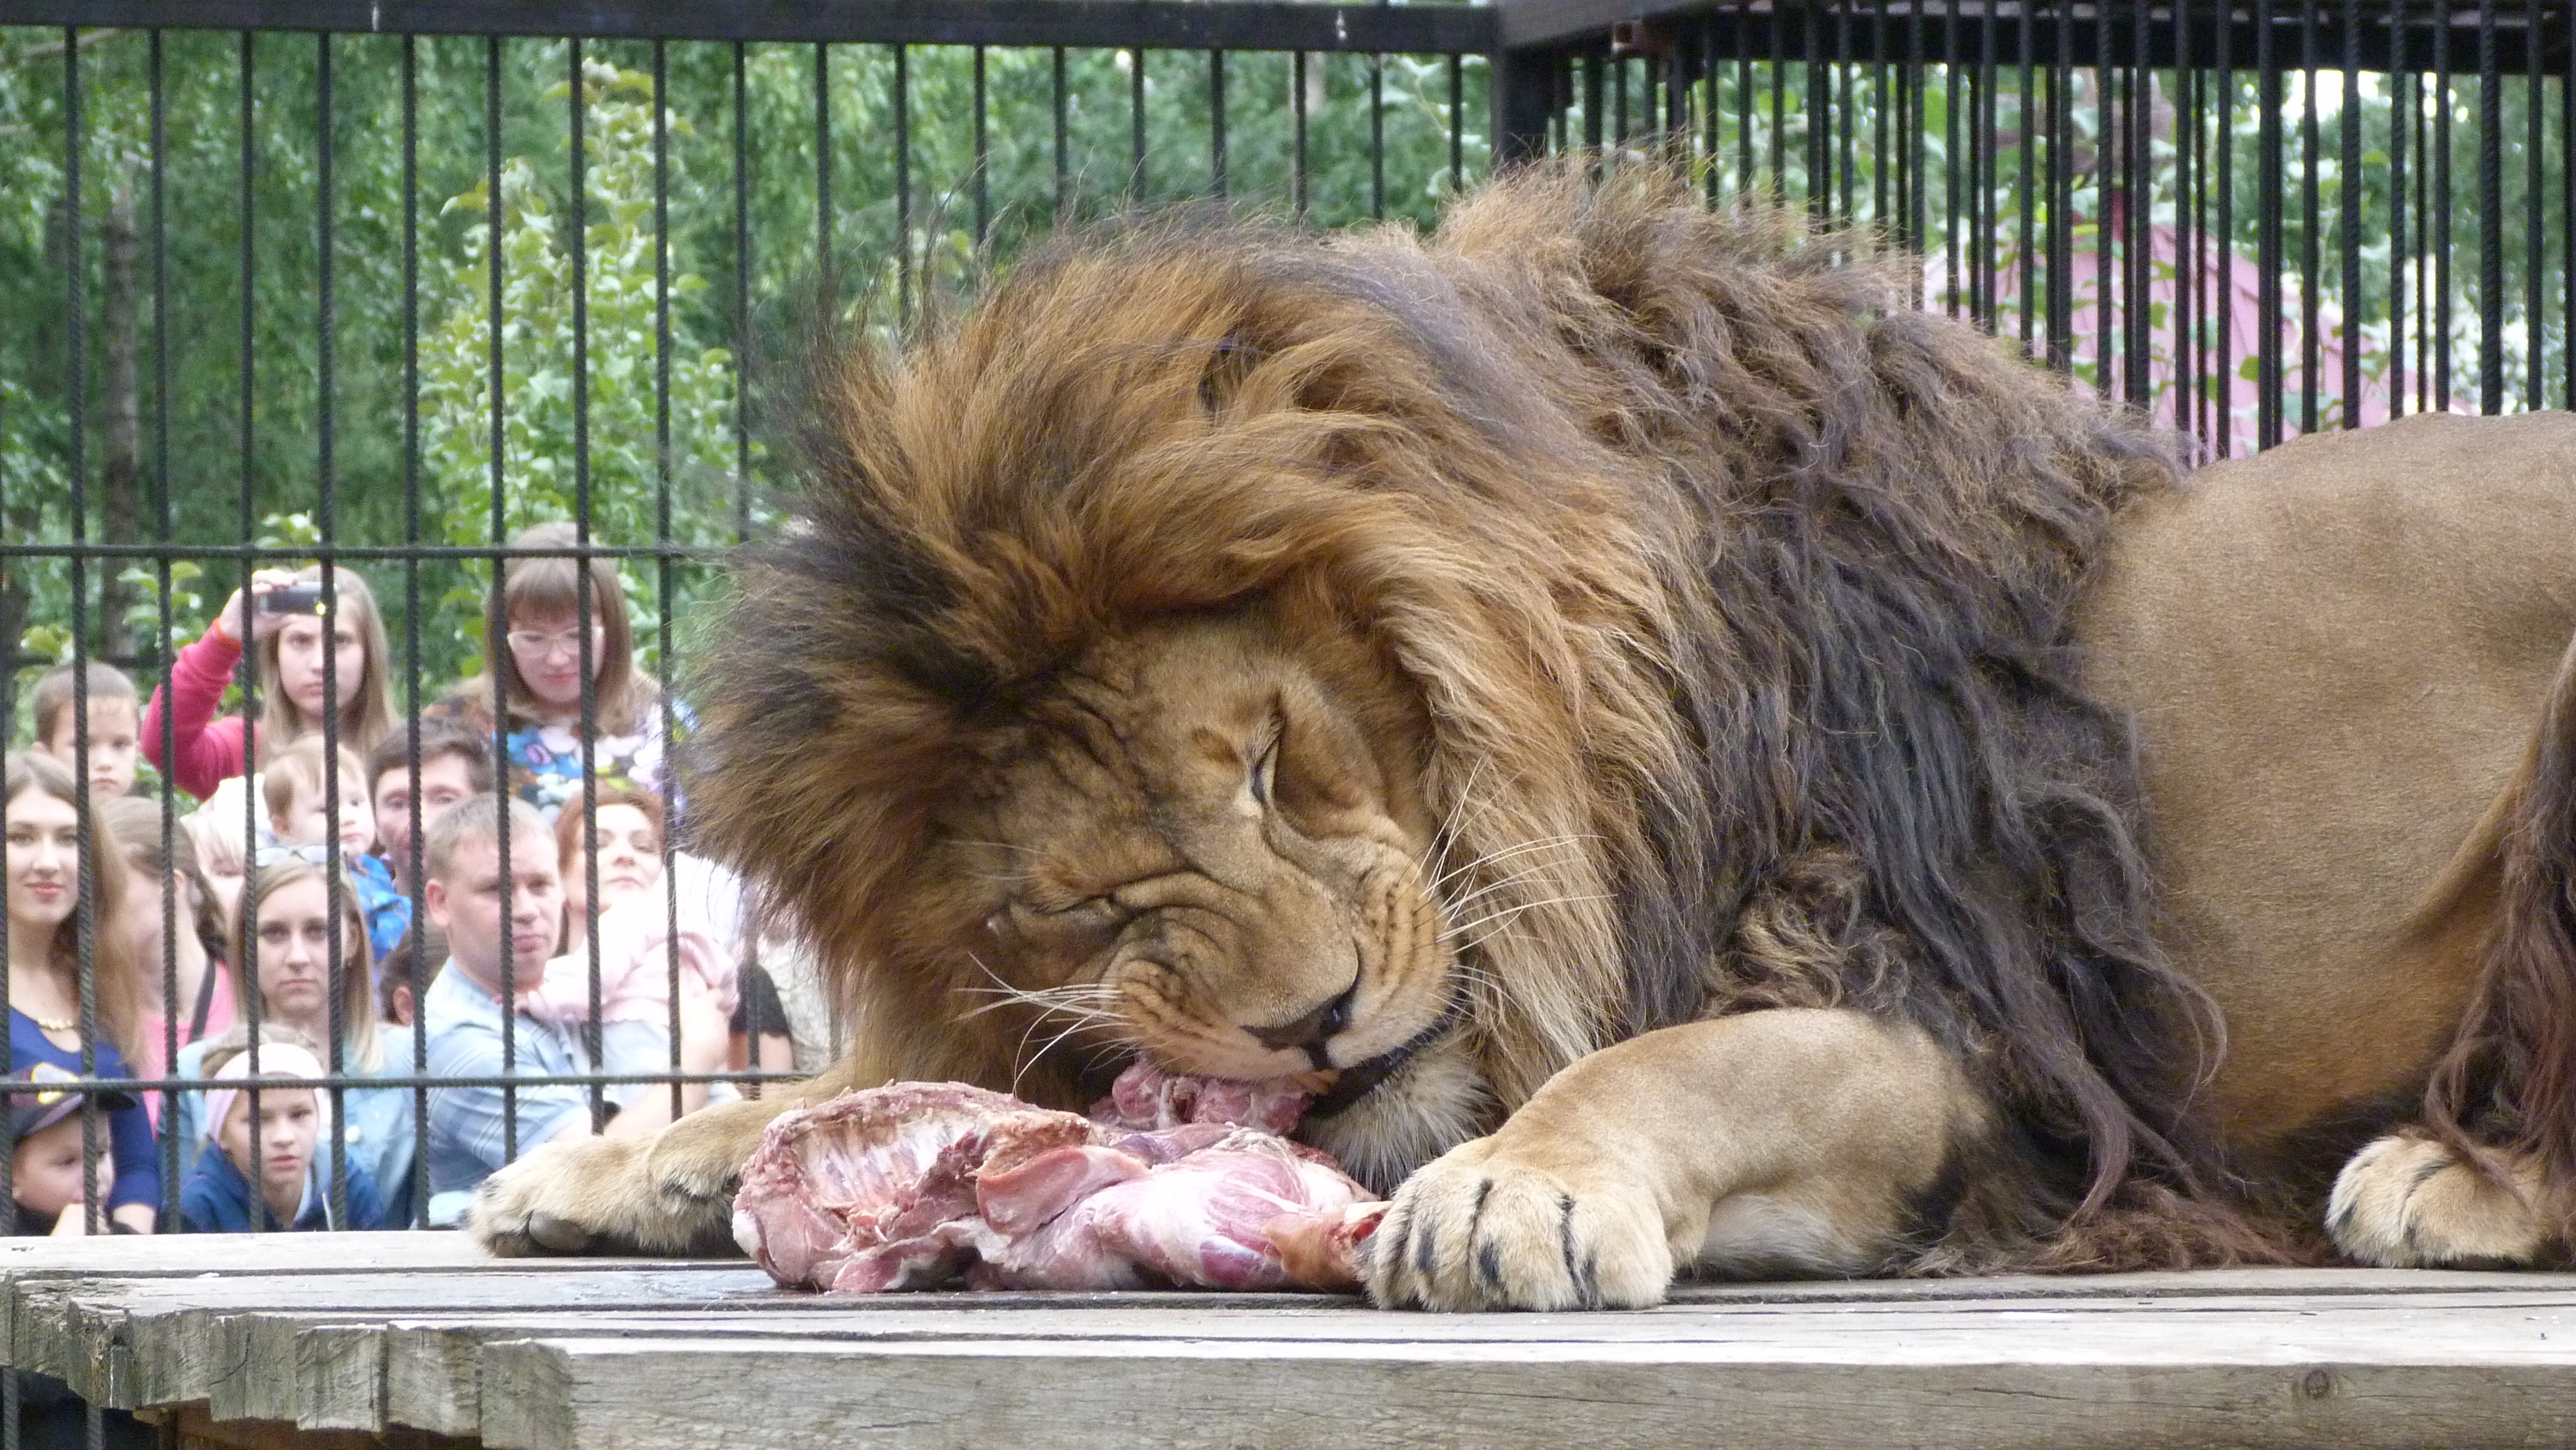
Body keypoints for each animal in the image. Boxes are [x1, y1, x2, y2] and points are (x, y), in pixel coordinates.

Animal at [466, 163, 2576, 1308]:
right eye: (1084, 905)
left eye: (1270, 761)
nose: (1314, 1026)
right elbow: (899, 1080)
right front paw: (626, 1160)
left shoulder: (1937, 1027)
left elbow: (1680, 1059)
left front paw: (1518, 1183)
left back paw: (2448, 1177)